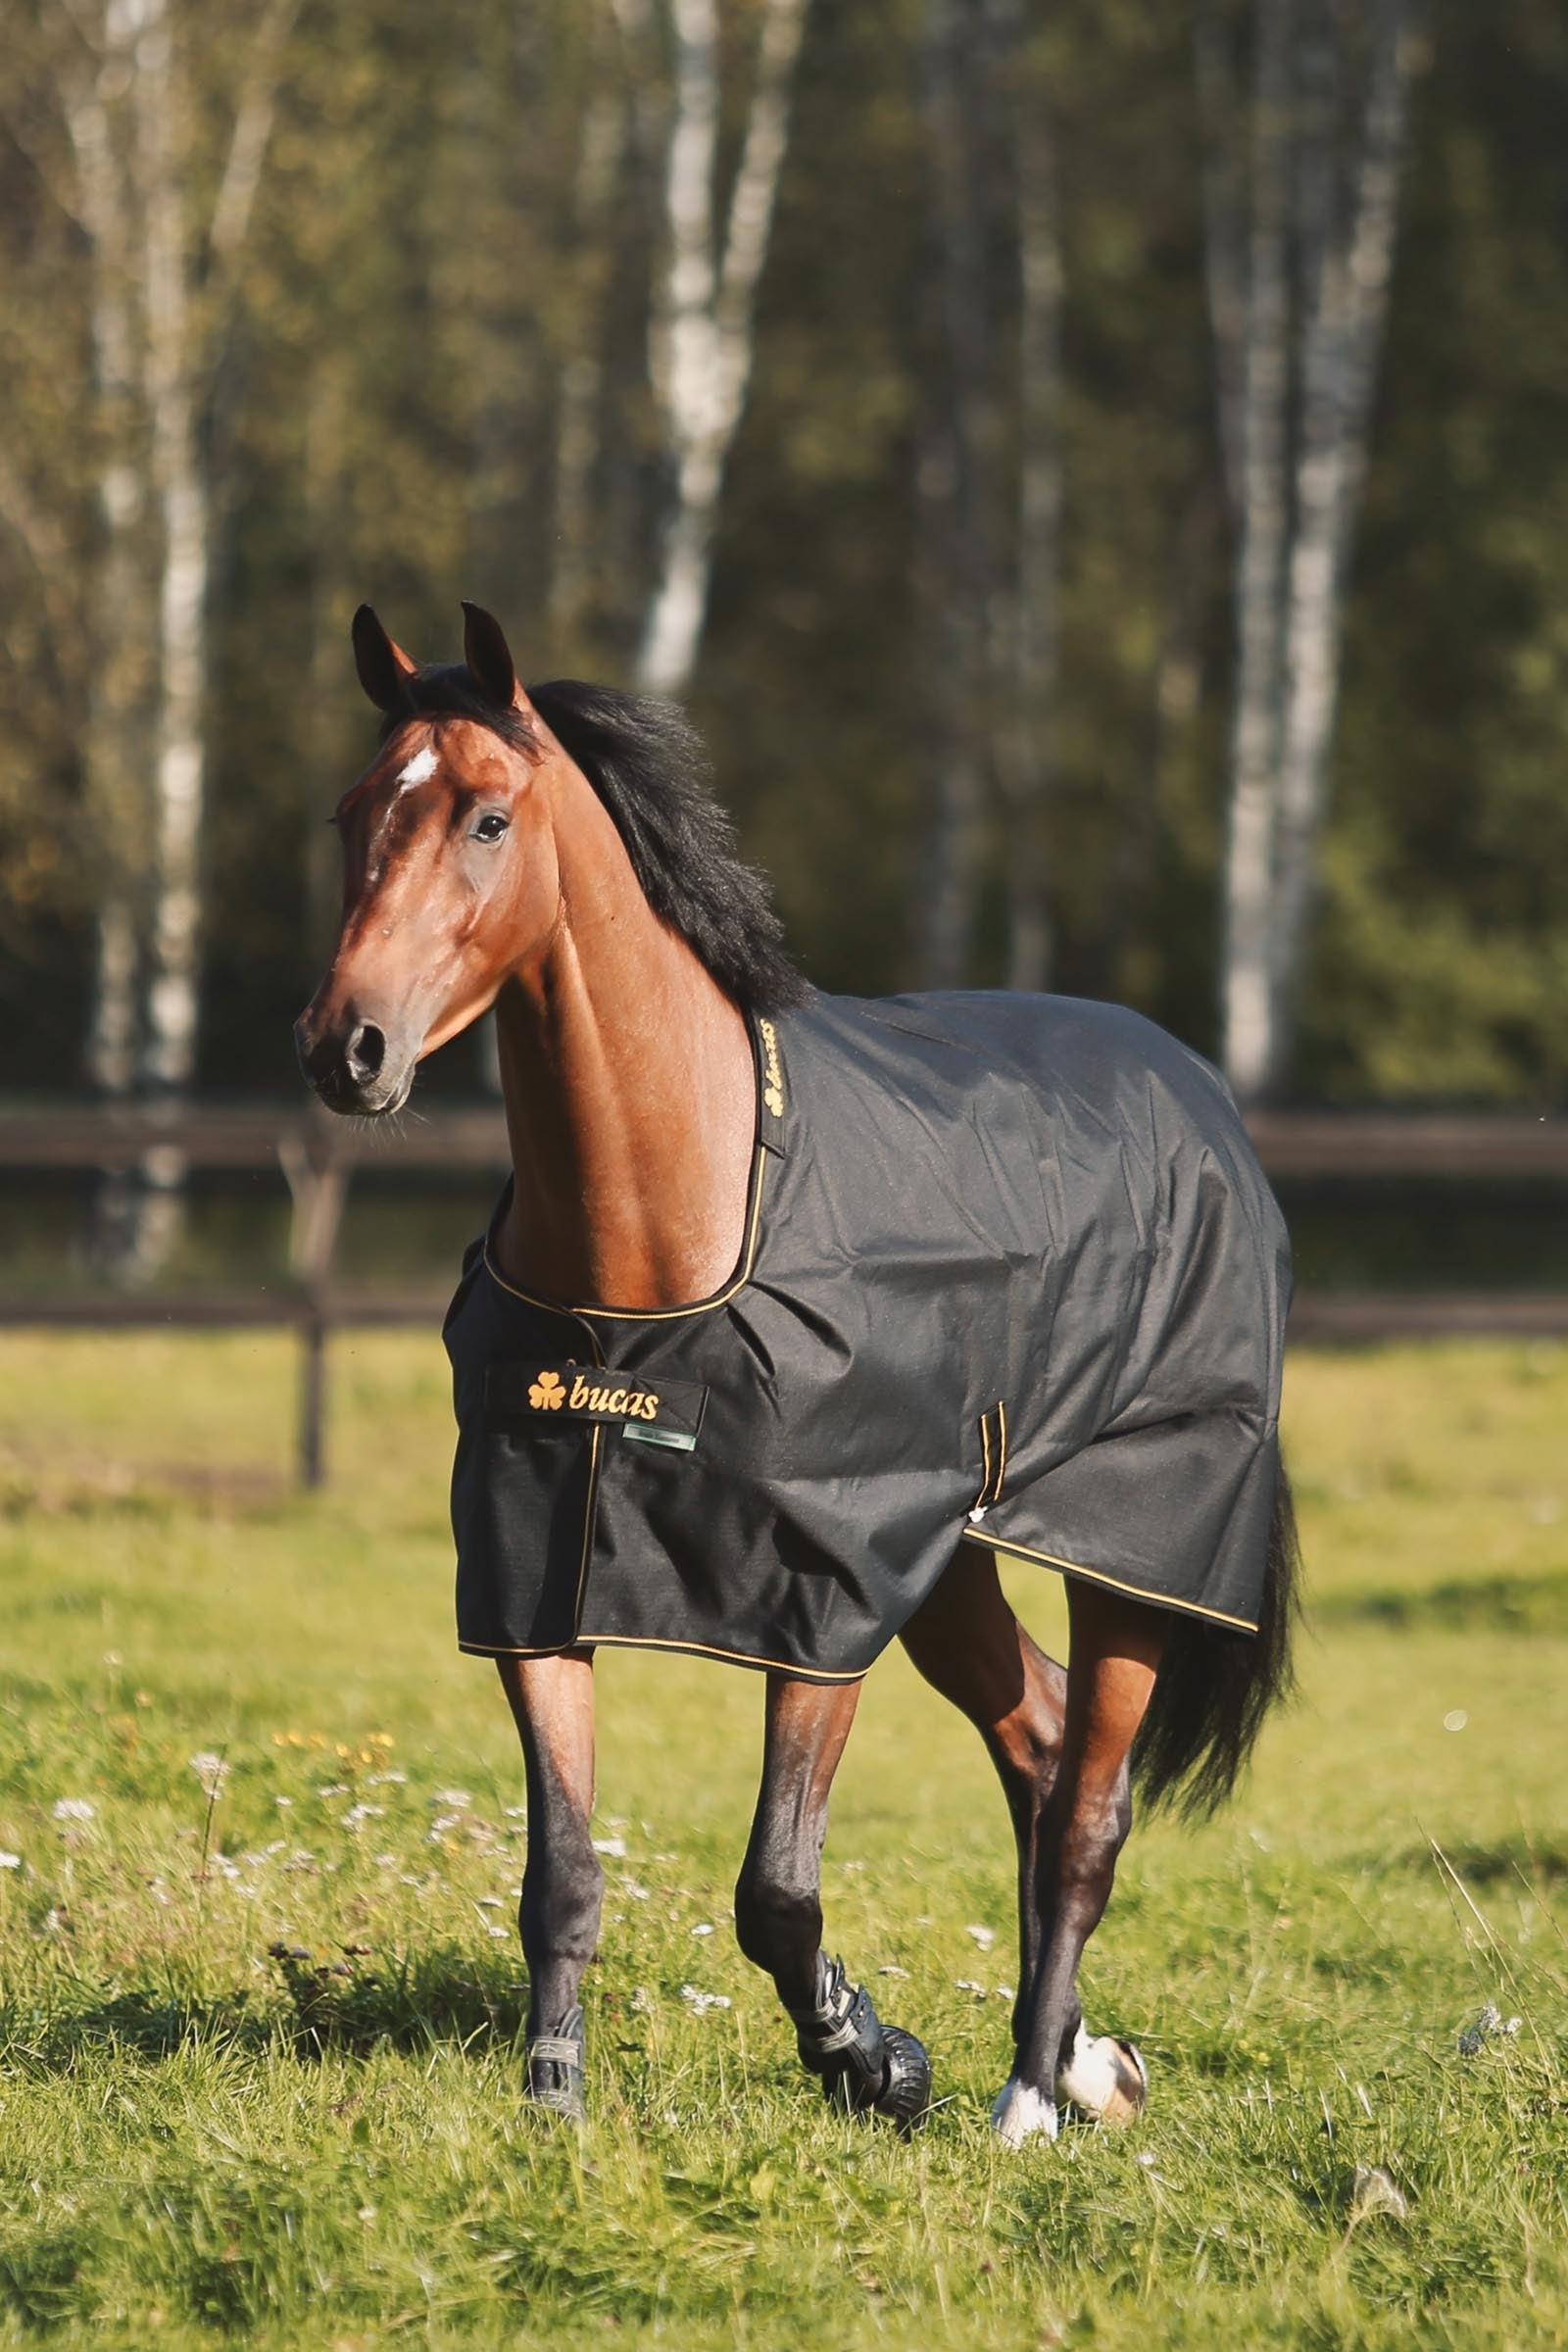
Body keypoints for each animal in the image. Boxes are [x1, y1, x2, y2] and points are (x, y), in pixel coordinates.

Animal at [295, 602, 1298, 2145]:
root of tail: (1196, 1093)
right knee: (1038, 1737)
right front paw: (552, 2105)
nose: (347, 1049)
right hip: (949, 1561)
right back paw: (1084, 2063)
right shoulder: (535, 1575)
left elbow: (775, 1892)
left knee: (1087, 1808)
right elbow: (560, 1877)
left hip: (1134, 1550)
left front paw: (874, 2060)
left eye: (486, 817)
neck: (663, 1242)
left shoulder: (820, 1596)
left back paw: (1027, 2096)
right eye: (354, 811)